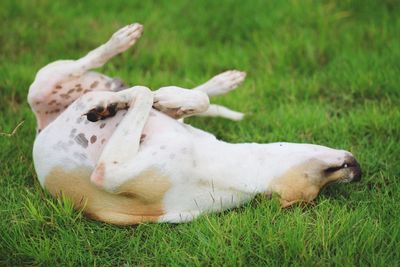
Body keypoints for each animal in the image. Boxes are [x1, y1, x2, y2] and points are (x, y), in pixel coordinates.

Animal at [27, 23, 360, 225]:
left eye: (318, 189)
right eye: (327, 176)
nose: (358, 171)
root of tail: (44, 125)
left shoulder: (110, 172)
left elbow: (144, 91)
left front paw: (123, 101)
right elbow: (171, 97)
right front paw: (153, 98)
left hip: (45, 86)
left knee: (95, 70)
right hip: (51, 78)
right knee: (87, 64)